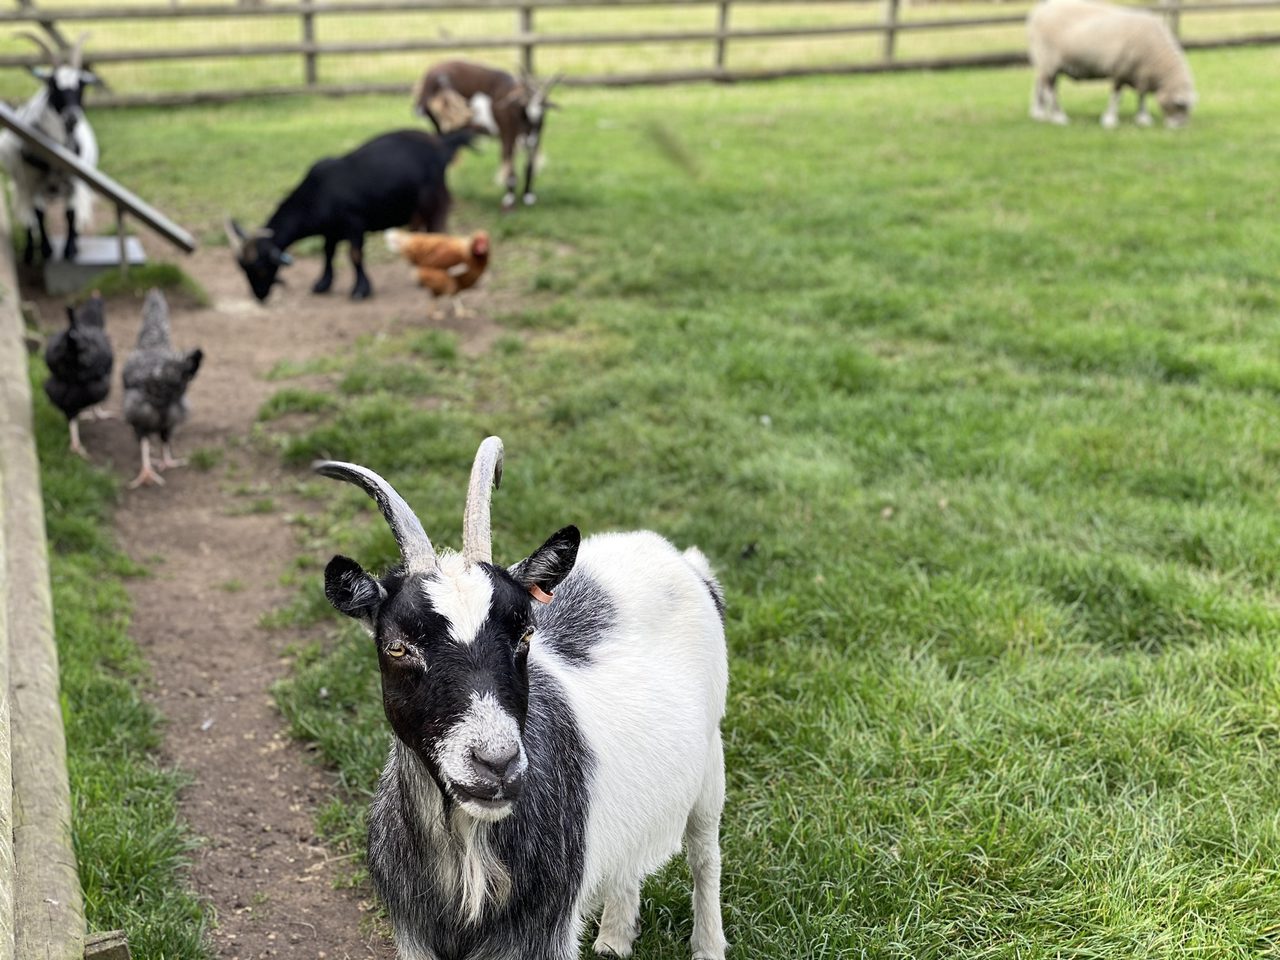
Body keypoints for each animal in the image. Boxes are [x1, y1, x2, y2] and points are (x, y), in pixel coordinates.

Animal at [0, 33, 99, 263]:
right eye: (53, 85)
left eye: (82, 85)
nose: (72, 117)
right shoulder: (30, 181)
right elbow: (38, 213)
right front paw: (45, 250)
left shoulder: (75, 182)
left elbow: (70, 213)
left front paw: (70, 250)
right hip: (21, 184)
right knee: (27, 215)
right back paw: (29, 251)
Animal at [227, 128, 473, 300]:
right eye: (242, 269)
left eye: (260, 269)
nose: (259, 296)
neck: (317, 193)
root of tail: (441, 145)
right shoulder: (330, 230)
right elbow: (328, 253)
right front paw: (322, 284)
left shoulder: (354, 223)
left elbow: (355, 255)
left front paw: (360, 290)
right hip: (416, 209)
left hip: (432, 200)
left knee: (436, 230)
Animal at [313, 440, 732, 960]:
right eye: (397, 647)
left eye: (526, 635)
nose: (496, 763)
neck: (468, 857)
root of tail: (678, 557)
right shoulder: (415, 934)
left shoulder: (540, 933)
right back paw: (613, 940)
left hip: (710, 763)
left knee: (704, 854)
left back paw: (708, 945)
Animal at [414, 61, 560, 211]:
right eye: (523, 111)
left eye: (541, 117)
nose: (528, 141)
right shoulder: (507, 134)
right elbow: (509, 167)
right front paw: (509, 200)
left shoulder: (536, 136)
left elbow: (529, 167)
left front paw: (528, 196)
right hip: (440, 125)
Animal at [1024, 0, 1192, 128]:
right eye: (1180, 106)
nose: (1180, 127)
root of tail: (1040, 10)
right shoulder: (1121, 70)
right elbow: (1116, 97)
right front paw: (1110, 121)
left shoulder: (1140, 73)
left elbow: (1141, 96)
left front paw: (1143, 119)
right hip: (1048, 60)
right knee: (1050, 90)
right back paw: (1058, 118)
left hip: (1043, 62)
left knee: (1039, 86)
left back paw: (1038, 114)